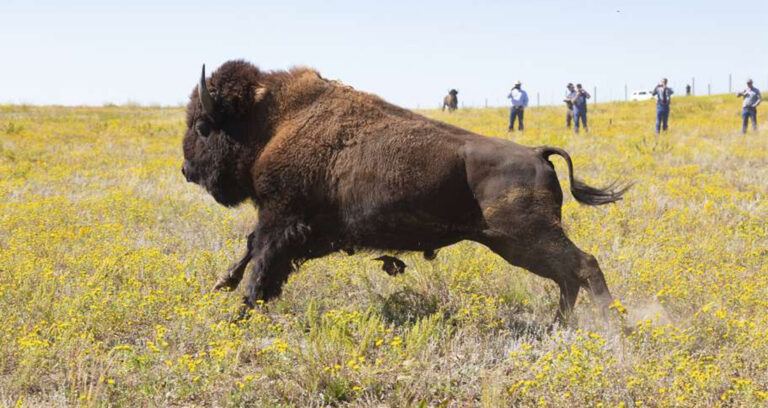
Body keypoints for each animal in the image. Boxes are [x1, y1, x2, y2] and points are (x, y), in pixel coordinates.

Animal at [182, 60, 630, 322]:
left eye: (204, 126)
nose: (187, 170)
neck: (275, 122)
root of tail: (537, 154)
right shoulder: (298, 229)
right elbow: (251, 251)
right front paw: (223, 288)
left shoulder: (282, 220)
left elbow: (261, 262)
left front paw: (238, 314)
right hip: (518, 243)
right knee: (568, 275)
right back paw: (561, 326)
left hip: (525, 239)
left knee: (583, 266)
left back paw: (614, 326)